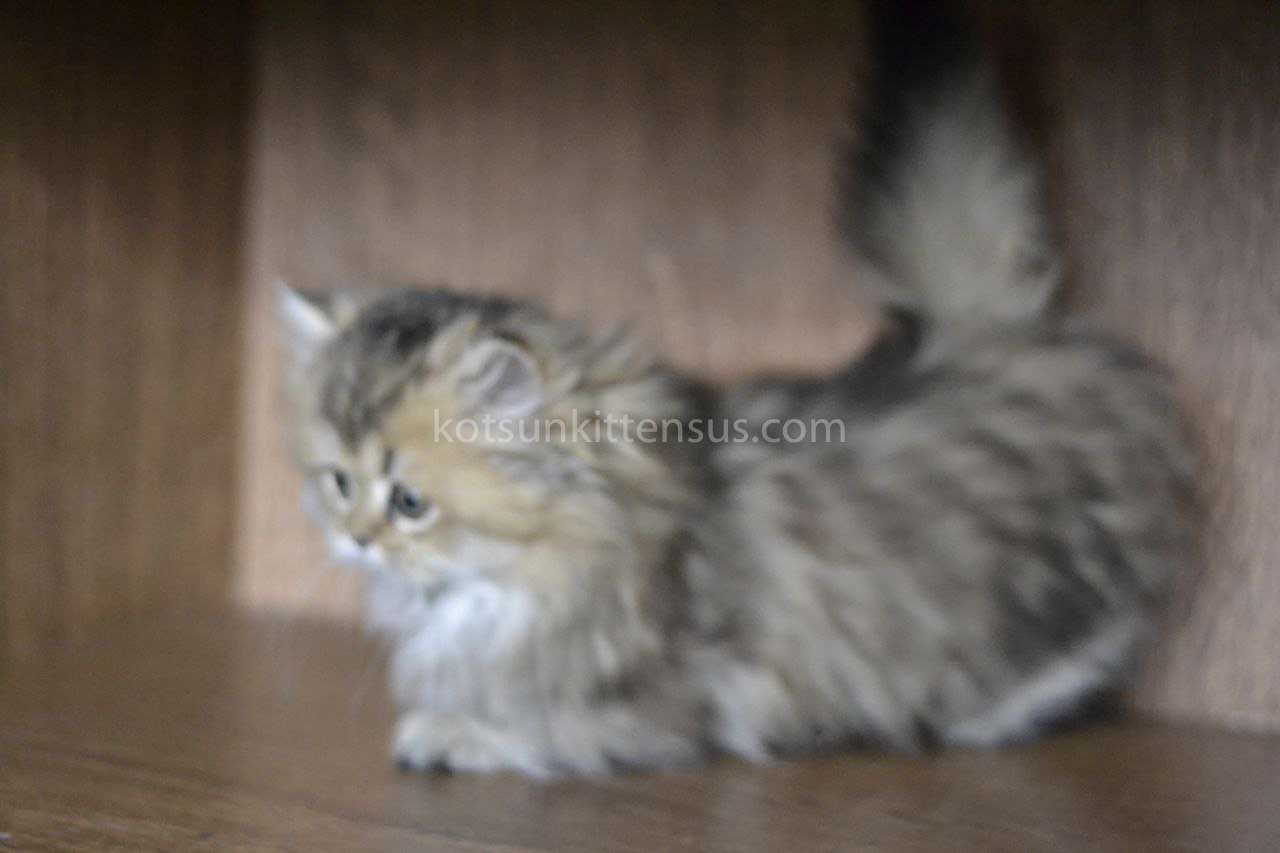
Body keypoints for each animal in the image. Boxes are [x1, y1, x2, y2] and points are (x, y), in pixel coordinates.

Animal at [278, 0, 1196, 777]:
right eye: (339, 484)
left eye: (408, 502)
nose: (356, 539)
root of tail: (986, 329)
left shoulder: (667, 705)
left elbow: (547, 729)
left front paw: (450, 730)